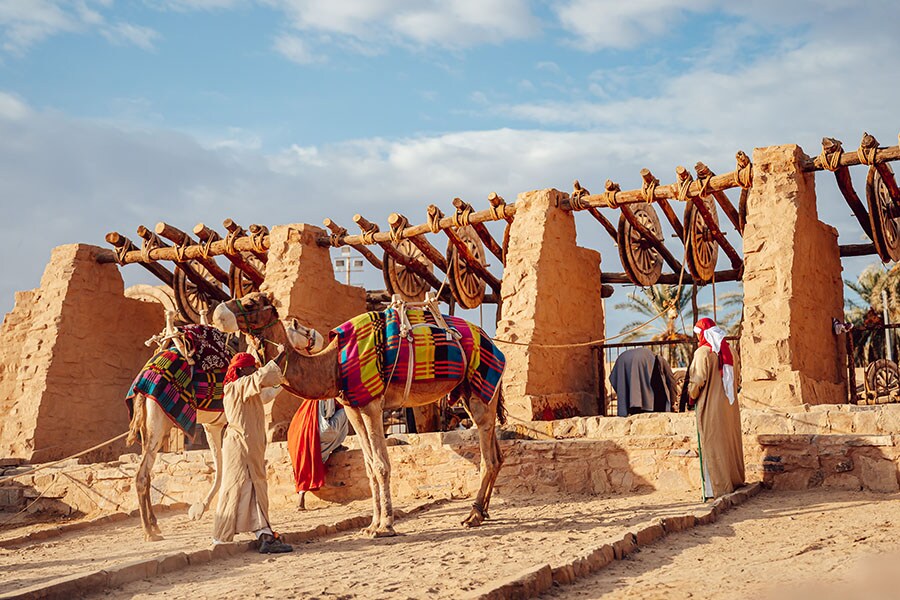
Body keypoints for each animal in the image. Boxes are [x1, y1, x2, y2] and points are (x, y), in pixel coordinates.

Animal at [213, 292, 506, 540]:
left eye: (250, 302)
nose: (217, 313)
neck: (334, 364)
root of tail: (494, 344)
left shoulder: (371, 403)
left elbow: (381, 464)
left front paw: (385, 526)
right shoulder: (353, 406)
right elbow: (368, 467)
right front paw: (372, 525)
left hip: (481, 387)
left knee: (488, 457)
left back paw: (473, 514)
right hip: (470, 392)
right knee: (497, 454)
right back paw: (483, 512)